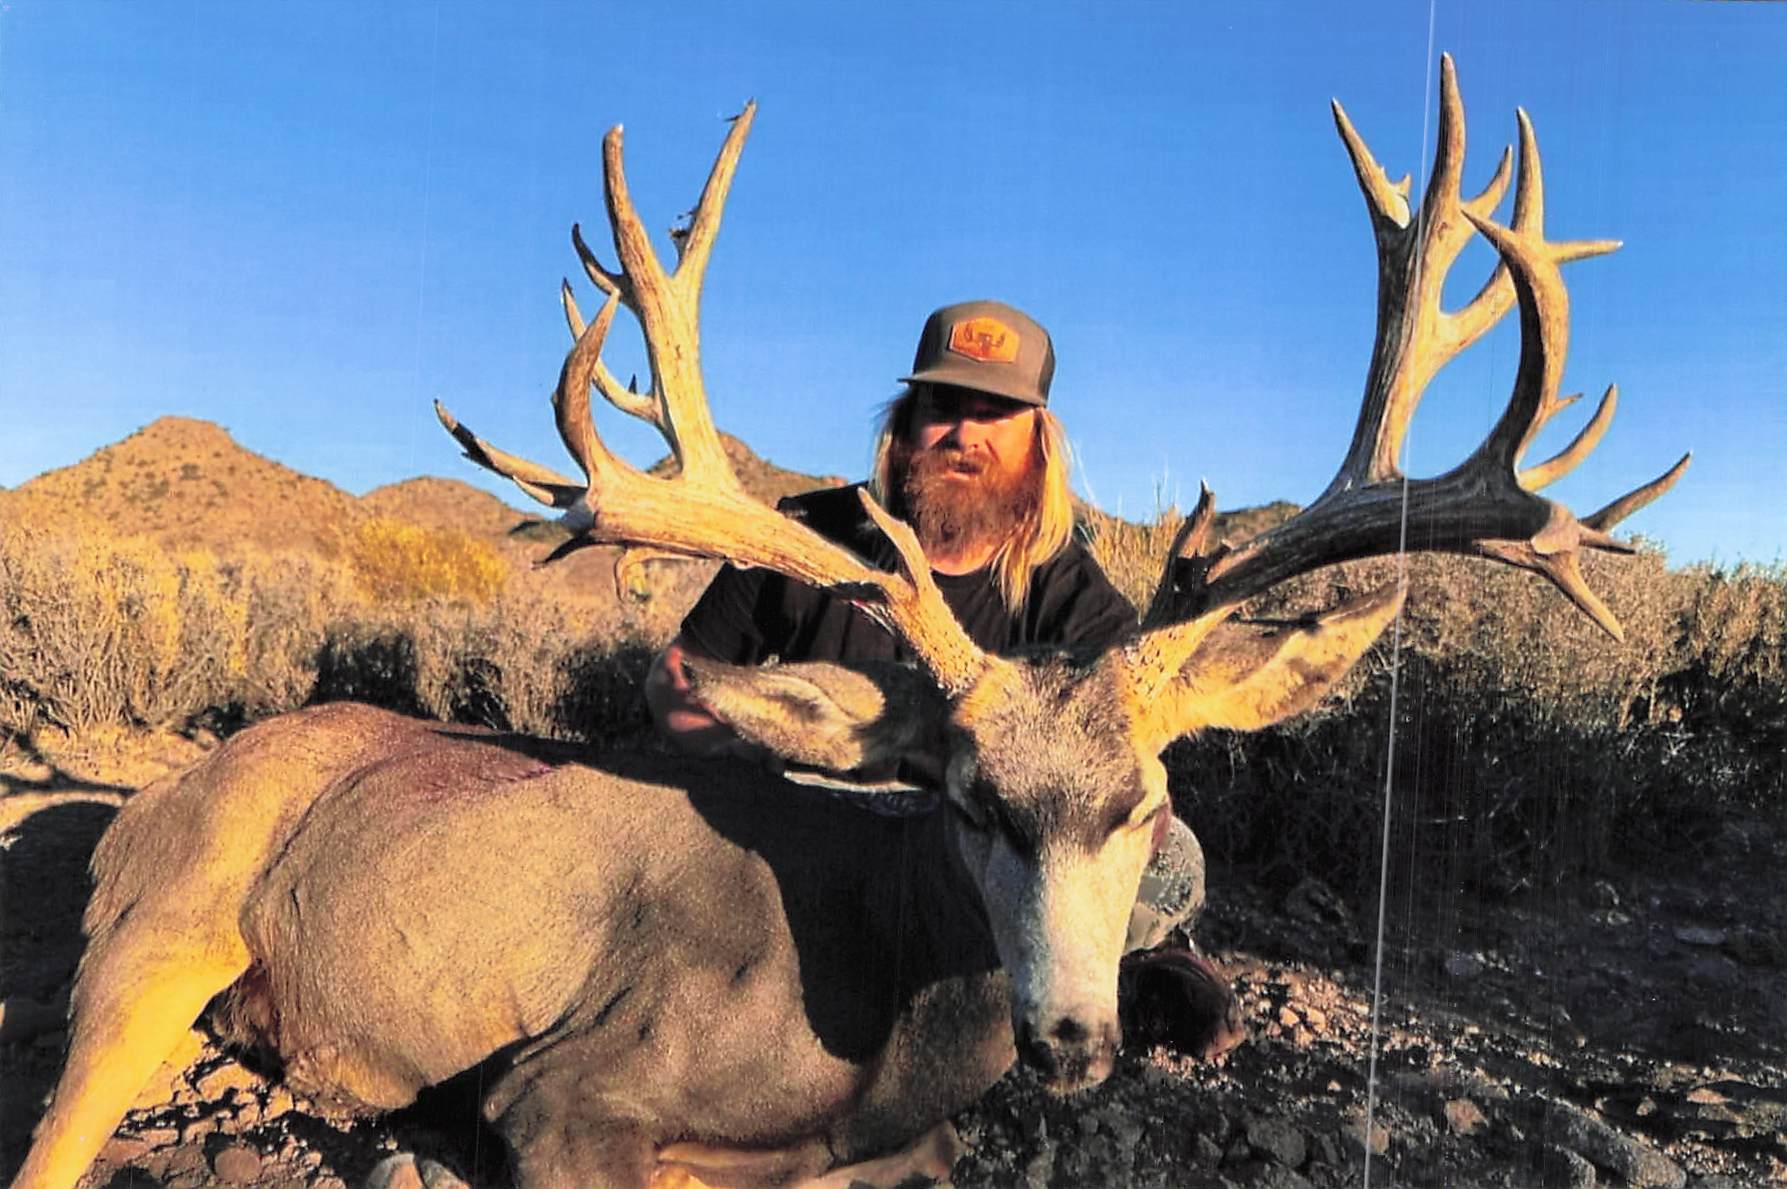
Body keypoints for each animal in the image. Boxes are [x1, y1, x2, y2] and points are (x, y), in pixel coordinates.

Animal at [10, 55, 1684, 1189]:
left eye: (1146, 804)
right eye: (967, 799)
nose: (1071, 1042)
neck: (871, 1009)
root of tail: (134, 802)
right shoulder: (561, 1091)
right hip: (152, 942)